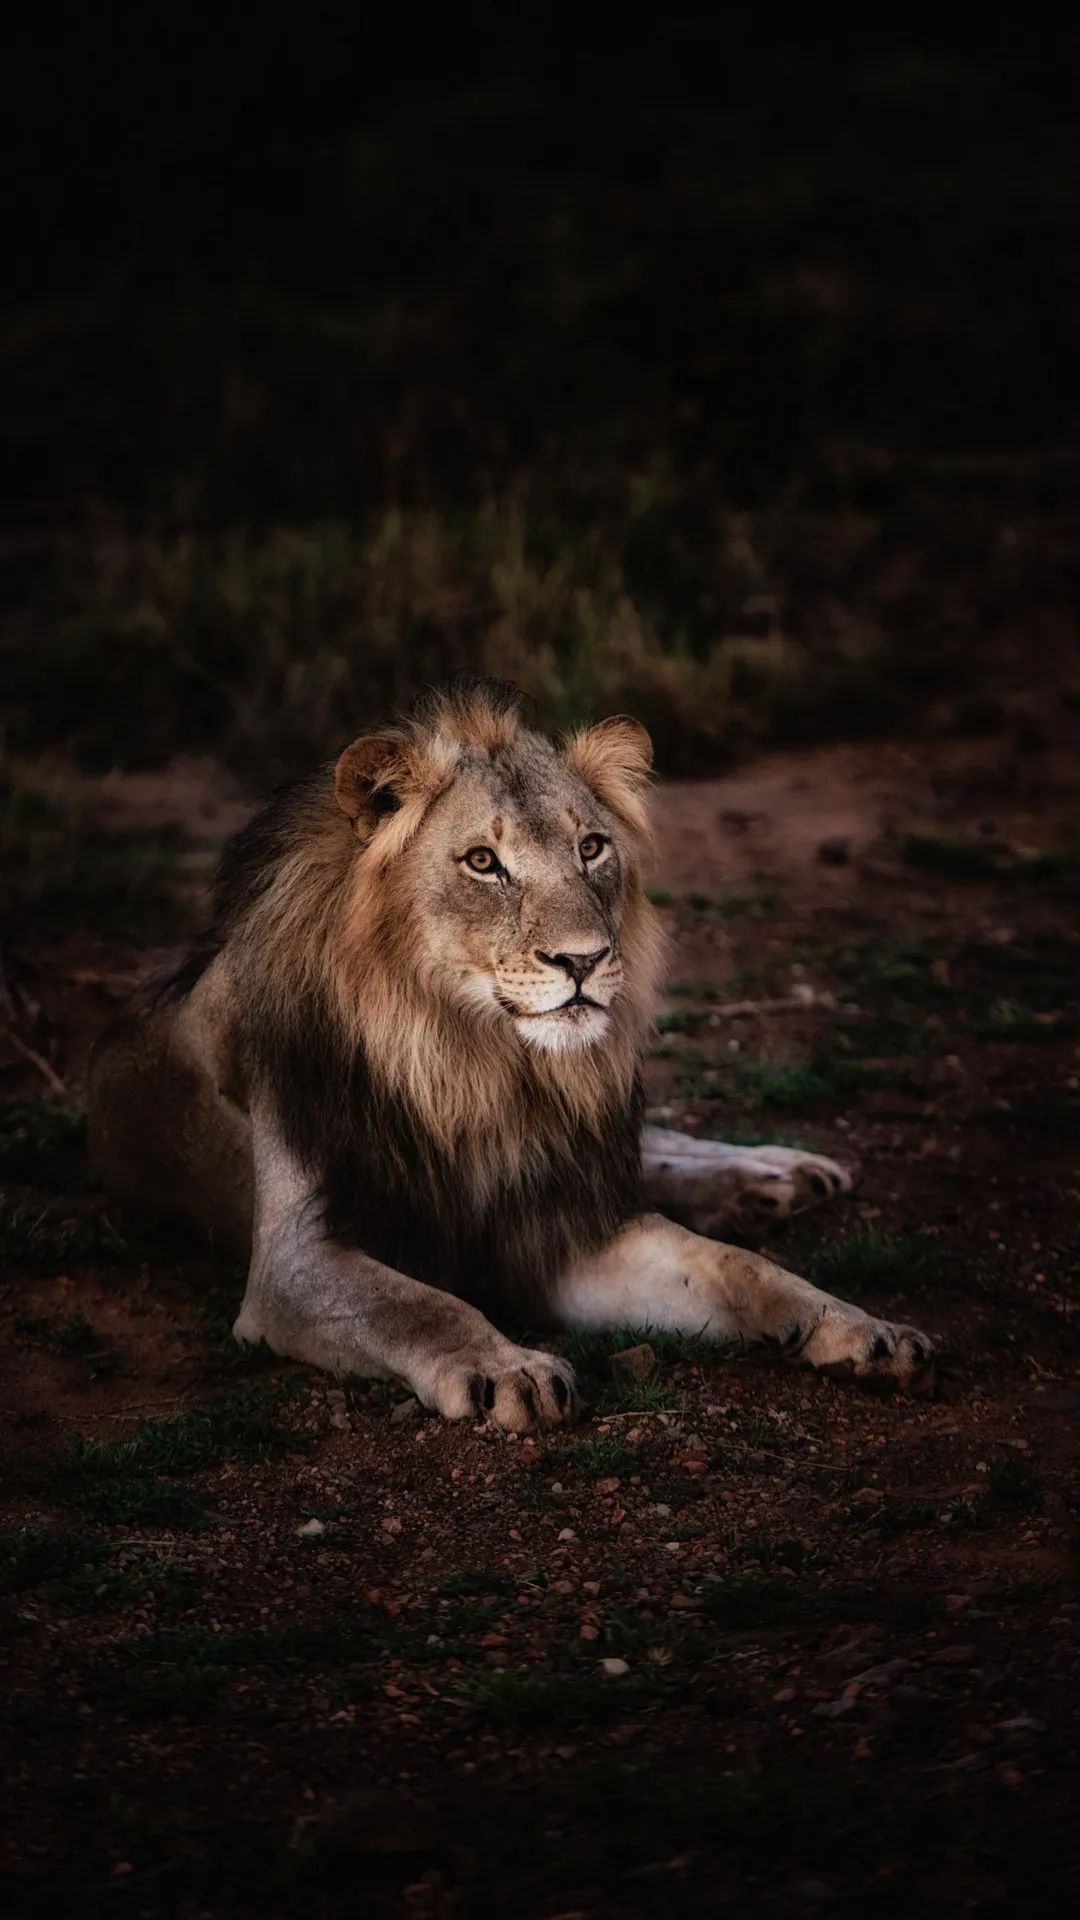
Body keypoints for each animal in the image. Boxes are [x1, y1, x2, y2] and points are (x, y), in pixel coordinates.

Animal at [87, 679, 935, 1429]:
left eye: (591, 847)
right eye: (482, 862)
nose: (584, 960)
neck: (479, 1068)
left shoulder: (563, 1224)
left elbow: (740, 1267)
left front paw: (860, 1327)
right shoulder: (295, 1265)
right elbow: (425, 1307)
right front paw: (512, 1369)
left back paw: (778, 1173)